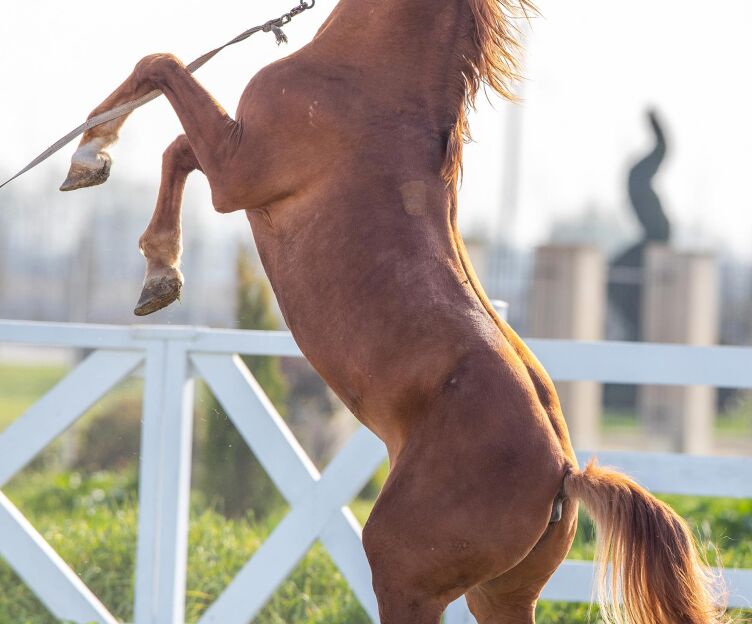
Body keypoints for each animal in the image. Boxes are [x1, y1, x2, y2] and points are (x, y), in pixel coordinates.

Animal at [58, 1, 726, 622]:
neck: (368, 73)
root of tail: (565, 472)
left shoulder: (237, 171)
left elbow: (162, 71)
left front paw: (94, 165)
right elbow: (172, 134)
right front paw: (145, 253)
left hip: (403, 574)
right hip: (501, 595)